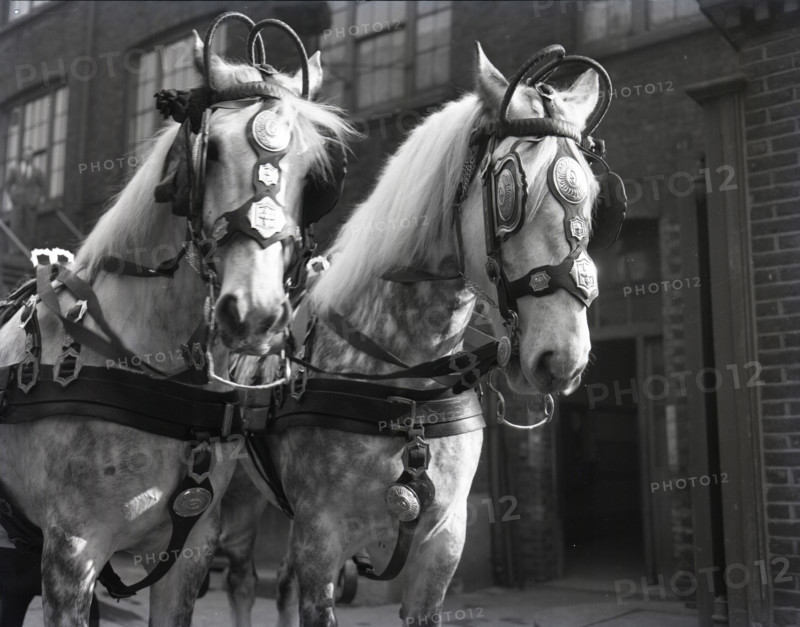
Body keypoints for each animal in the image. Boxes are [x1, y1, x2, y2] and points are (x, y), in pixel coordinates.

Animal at [223, 42, 624, 627]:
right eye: (508, 191)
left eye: (593, 197)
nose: (562, 358)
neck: (402, 381)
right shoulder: (321, 538)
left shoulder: (442, 540)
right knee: (237, 576)